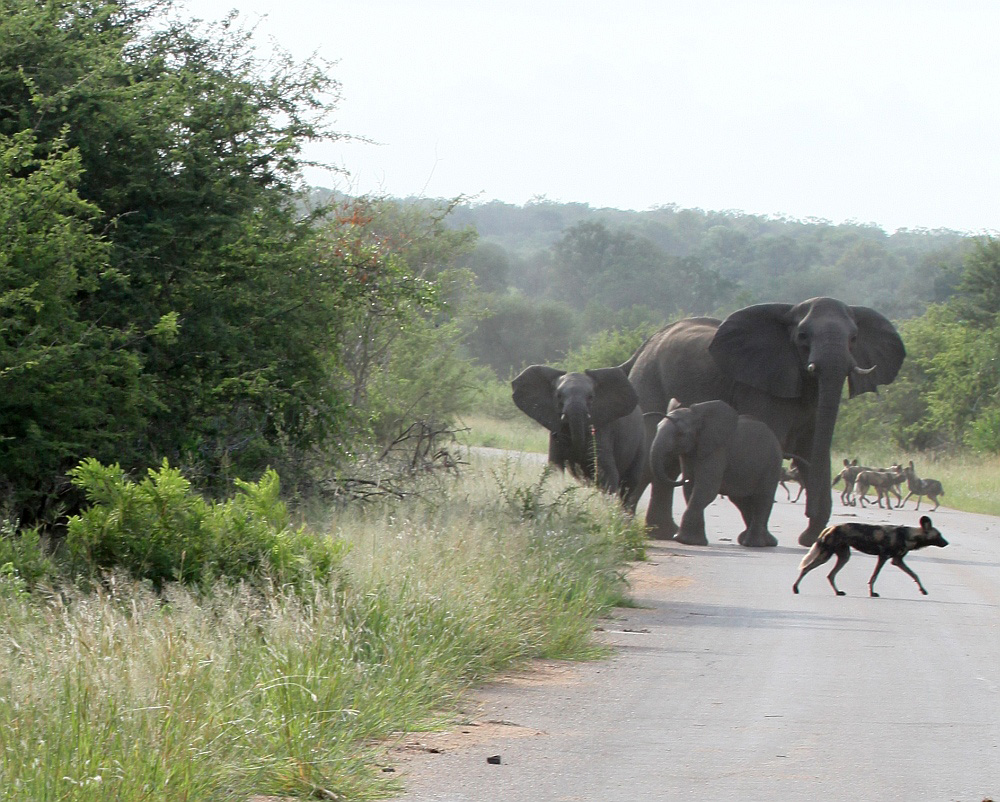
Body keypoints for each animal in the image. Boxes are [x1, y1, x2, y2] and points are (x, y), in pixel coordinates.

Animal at [512, 364, 644, 512]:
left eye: (591, 397)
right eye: (559, 396)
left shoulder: (603, 429)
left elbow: (606, 474)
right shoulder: (555, 430)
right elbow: (554, 467)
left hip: (641, 442)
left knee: (630, 484)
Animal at [644, 398, 784, 548]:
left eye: (680, 434)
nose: (682, 478)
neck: (697, 416)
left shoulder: (717, 450)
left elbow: (706, 488)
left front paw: (684, 540)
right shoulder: (690, 453)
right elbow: (691, 489)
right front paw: (694, 542)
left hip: (772, 463)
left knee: (762, 498)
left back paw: (754, 544)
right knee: (742, 502)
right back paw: (762, 541)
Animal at [792, 516, 948, 596]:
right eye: (939, 535)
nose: (947, 543)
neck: (908, 536)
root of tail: (830, 527)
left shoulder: (897, 560)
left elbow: (915, 575)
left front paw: (923, 590)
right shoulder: (884, 557)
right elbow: (874, 577)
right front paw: (872, 593)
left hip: (844, 556)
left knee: (830, 575)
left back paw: (838, 592)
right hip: (825, 555)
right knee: (806, 568)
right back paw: (795, 589)